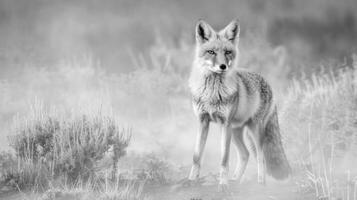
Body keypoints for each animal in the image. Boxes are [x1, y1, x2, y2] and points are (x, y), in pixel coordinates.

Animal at [186, 19, 290, 189]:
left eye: (227, 52)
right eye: (211, 52)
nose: (223, 66)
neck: (212, 94)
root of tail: (267, 82)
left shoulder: (225, 123)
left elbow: (224, 159)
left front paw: (223, 185)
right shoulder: (203, 121)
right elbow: (196, 156)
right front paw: (191, 181)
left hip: (253, 131)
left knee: (260, 157)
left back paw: (260, 183)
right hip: (235, 132)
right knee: (245, 154)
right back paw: (235, 180)